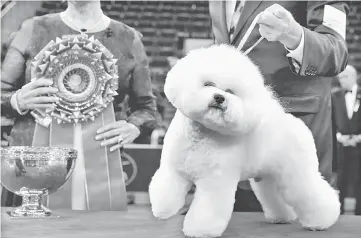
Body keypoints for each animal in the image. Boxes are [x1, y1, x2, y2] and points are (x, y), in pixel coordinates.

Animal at [148, 44, 338, 236]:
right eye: (208, 84)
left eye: (230, 92)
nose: (219, 98)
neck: (202, 134)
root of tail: (296, 123)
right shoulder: (174, 168)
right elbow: (166, 189)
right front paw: (163, 209)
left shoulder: (215, 180)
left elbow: (207, 208)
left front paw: (200, 230)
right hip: (269, 175)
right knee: (275, 195)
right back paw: (282, 217)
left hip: (296, 172)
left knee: (312, 193)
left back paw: (321, 222)